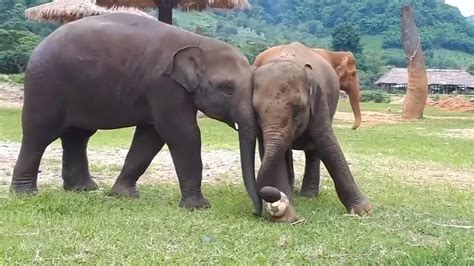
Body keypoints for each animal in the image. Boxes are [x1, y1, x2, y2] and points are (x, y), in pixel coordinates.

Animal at [11, 13, 262, 214]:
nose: (255, 211)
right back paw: (25, 193)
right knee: (39, 134)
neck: (199, 42)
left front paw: (123, 195)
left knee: (78, 136)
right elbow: (183, 134)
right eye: (227, 87)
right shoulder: (164, 86)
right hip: (45, 86)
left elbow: (150, 137)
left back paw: (83, 189)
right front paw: (198, 207)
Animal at [250, 42, 372, 221]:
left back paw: (308, 195)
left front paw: (364, 210)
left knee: (313, 150)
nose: (353, 127)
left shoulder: (320, 100)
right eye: (257, 113)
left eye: (297, 110)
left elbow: (326, 141)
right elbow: (266, 149)